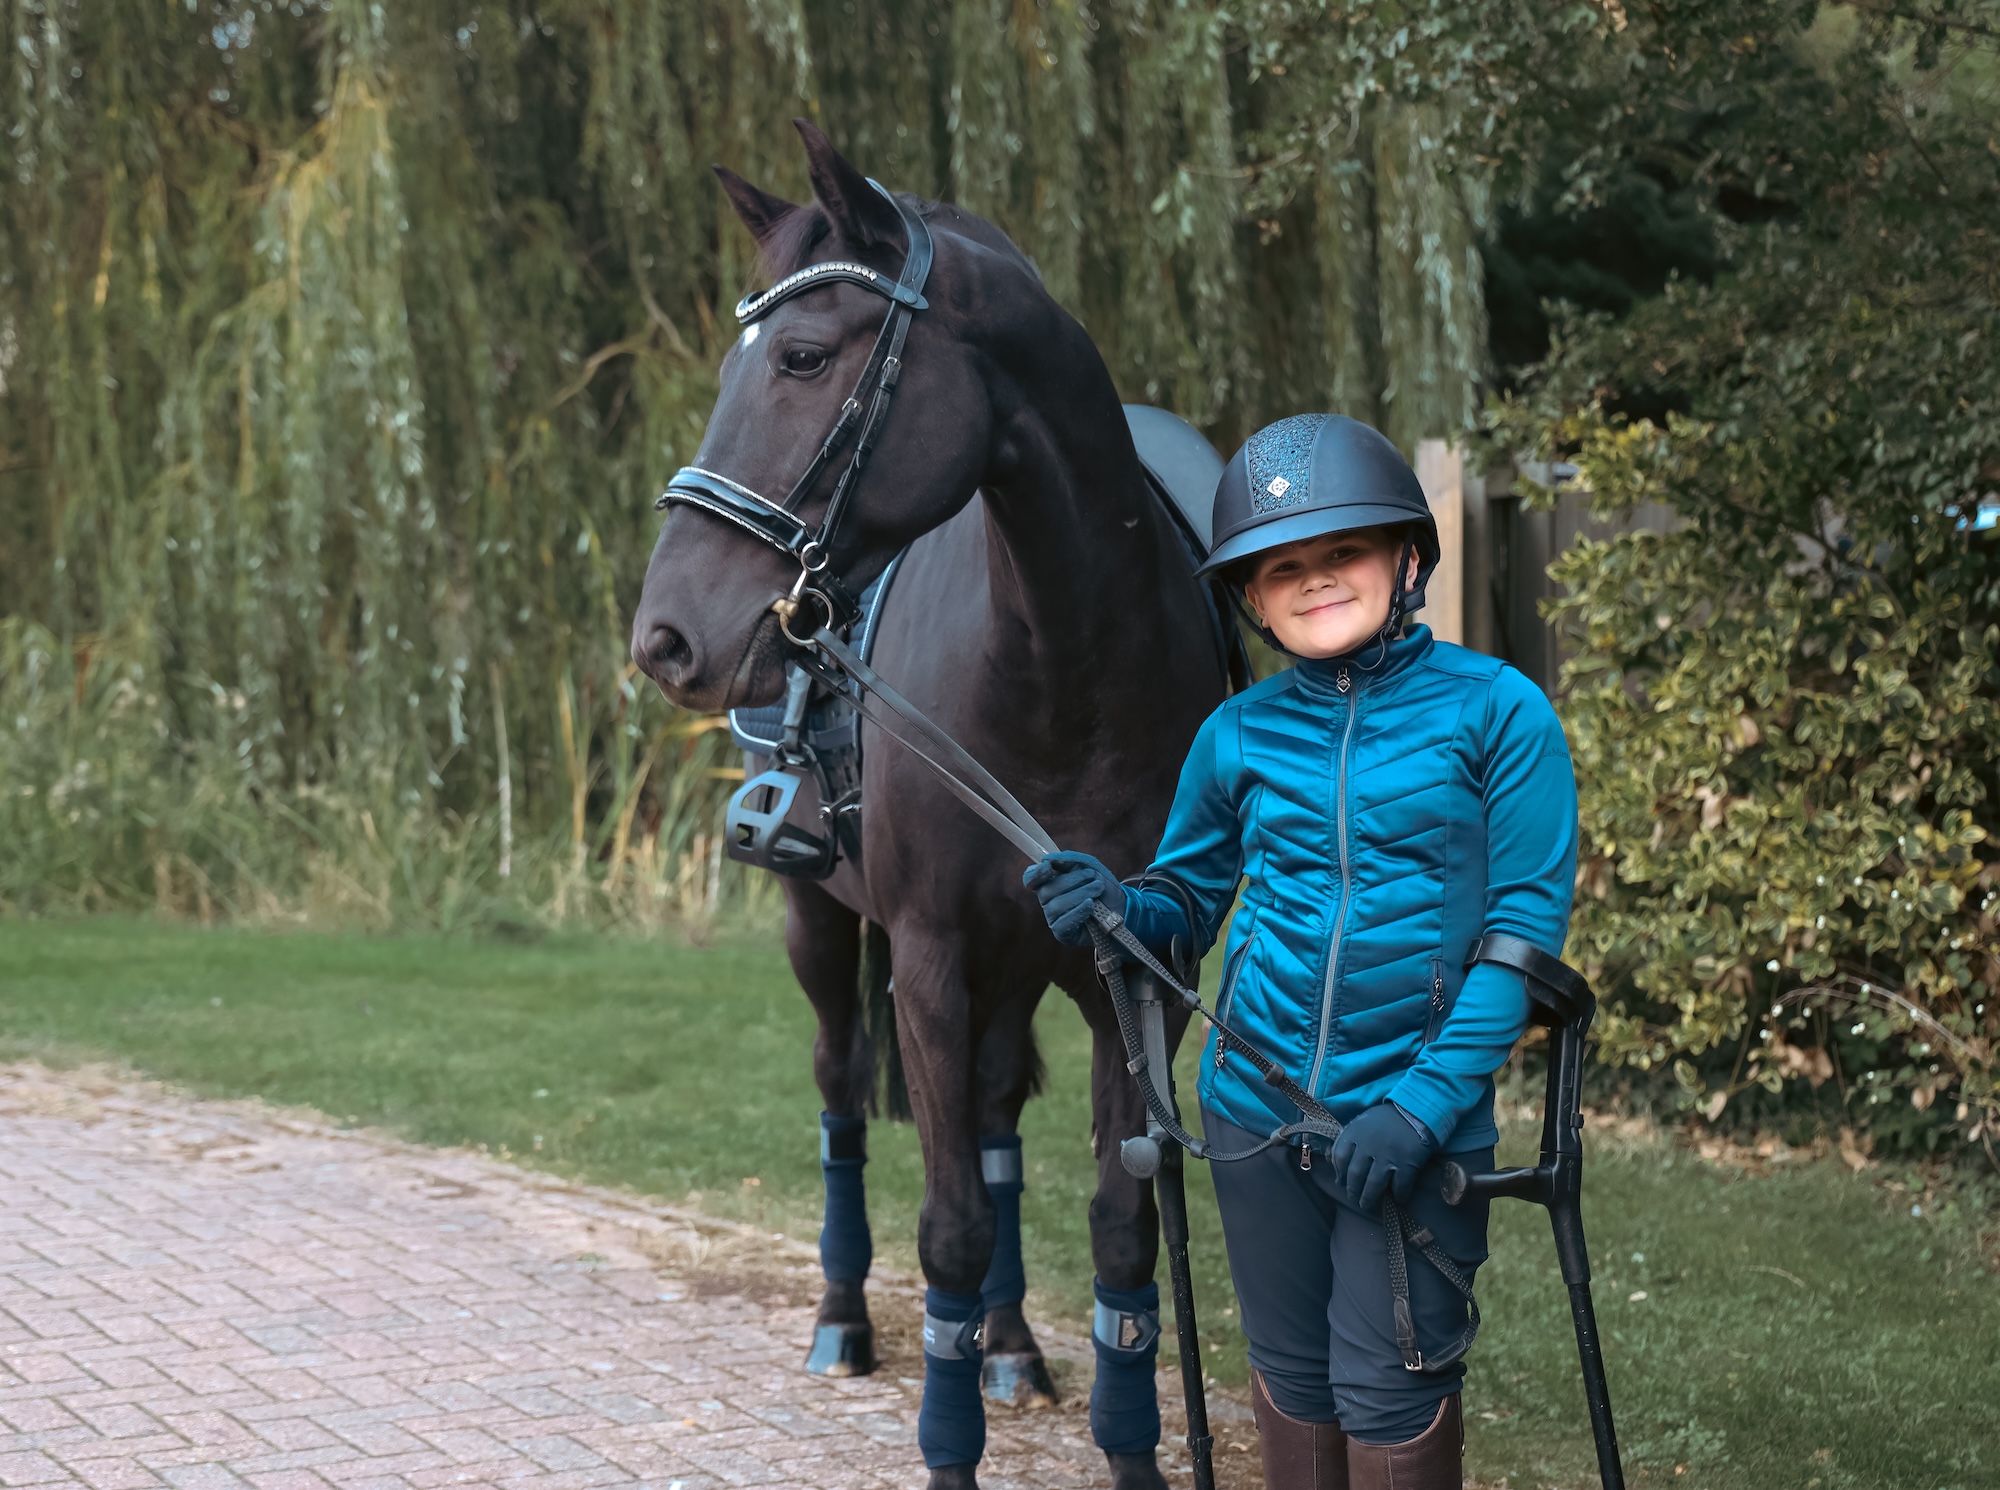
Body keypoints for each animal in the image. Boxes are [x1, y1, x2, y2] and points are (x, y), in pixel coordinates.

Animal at [629, 120, 1229, 1490]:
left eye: (801, 355)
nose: (665, 635)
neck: (1064, 665)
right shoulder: (928, 958)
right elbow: (946, 1225)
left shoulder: (1132, 964)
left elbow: (1118, 1229)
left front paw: (1121, 1438)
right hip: (822, 927)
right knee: (841, 1094)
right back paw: (842, 1317)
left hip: (1022, 962)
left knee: (997, 1112)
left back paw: (1007, 1342)